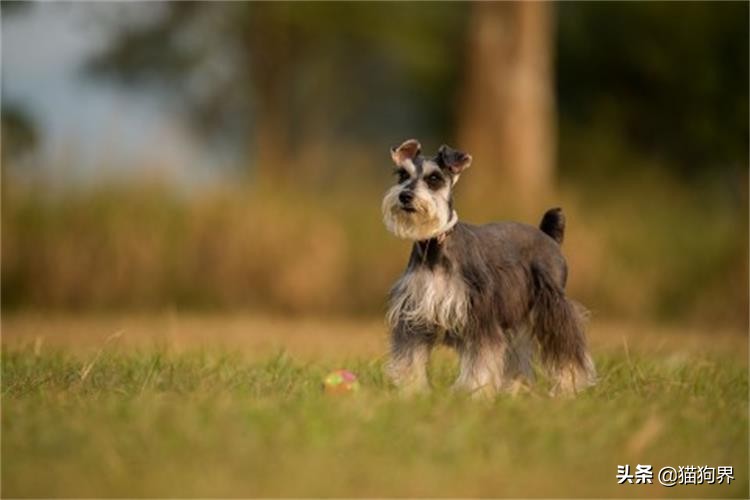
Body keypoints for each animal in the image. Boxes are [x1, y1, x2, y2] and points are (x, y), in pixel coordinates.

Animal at [384, 139, 596, 396]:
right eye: (402, 175)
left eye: (434, 178)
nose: (405, 196)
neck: (436, 246)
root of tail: (549, 237)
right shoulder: (414, 316)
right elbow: (411, 357)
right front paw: (412, 391)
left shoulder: (480, 317)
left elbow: (481, 359)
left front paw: (475, 391)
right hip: (518, 319)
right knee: (519, 353)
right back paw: (516, 389)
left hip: (552, 305)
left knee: (568, 348)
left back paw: (568, 387)